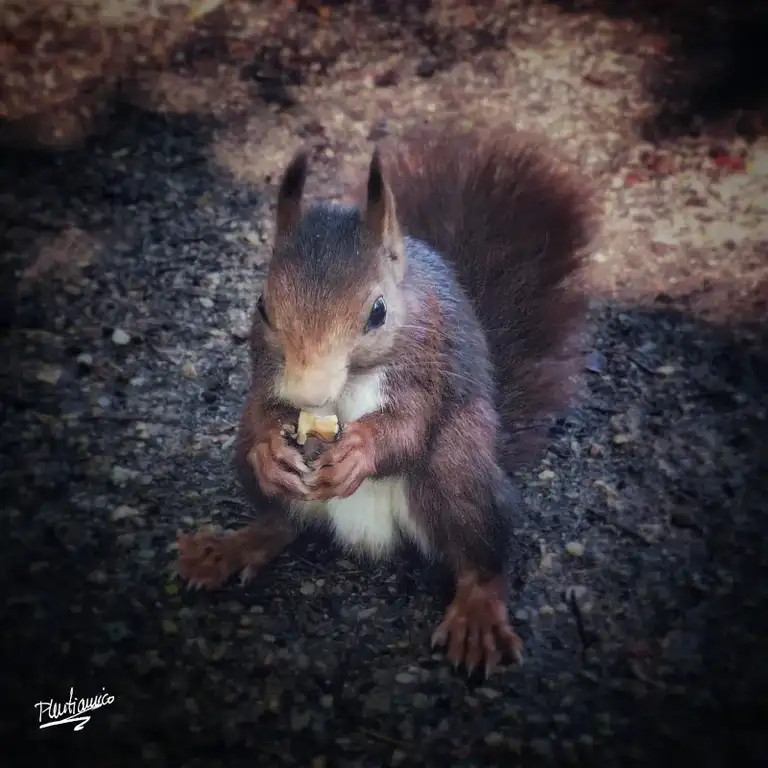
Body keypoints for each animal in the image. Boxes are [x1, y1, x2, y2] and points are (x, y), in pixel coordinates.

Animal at [177, 122, 598, 677]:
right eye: (262, 306)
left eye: (377, 312)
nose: (308, 393)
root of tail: (368, 534)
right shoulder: (266, 370)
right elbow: (265, 407)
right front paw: (273, 449)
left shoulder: (429, 360)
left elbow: (410, 425)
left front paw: (361, 451)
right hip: (245, 461)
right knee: (279, 522)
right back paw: (231, 546)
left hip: (458, 469)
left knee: (481, 554)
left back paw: (478, 613)